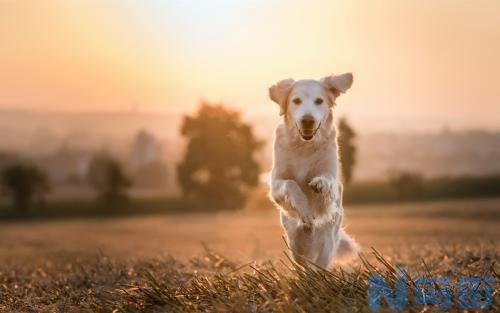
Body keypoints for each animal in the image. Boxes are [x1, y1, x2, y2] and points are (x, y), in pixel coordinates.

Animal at [270, 73, 360, 268]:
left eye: (319, 101)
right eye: (296, 100)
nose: (307, 120)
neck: (304, 146)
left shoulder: (332, 177)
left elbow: (328, 182)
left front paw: (320, 184)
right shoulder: (275, 184)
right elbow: (290, 184)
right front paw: (304, 209)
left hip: (328, 239)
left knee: (319, 265)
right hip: (295, 242)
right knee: (302, 264)